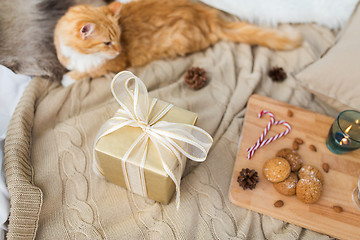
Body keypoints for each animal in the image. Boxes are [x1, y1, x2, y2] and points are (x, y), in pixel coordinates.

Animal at [54, 0, 300, 86]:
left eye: (118, 39)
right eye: (107, 42)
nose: (119, 49)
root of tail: (210, 16)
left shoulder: (114, 64)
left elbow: (87, 71)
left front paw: (68, 78)